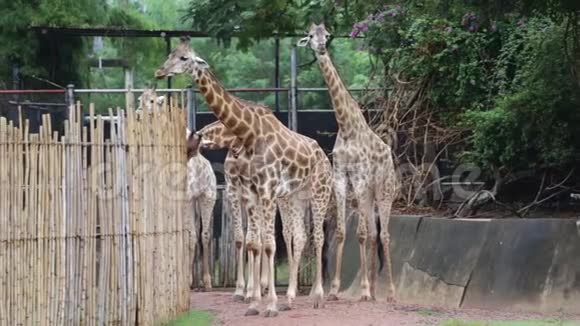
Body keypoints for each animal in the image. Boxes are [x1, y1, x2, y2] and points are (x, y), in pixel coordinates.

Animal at [139, 85, 218, 292]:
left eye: (152, 101)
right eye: (139, 100)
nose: (138, 114)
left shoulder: (185, 199)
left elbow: (188, 236)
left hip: (207, 197)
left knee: (202, 235)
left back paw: (203, 281)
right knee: (196, 234)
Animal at [156, 37, 334, 318]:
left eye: (185, 58)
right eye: (171, 53)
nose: (160, 72)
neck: (249, 133)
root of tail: (325, 157)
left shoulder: (266, 190)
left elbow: (268, 244)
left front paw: (267, 304)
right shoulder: (250, 192)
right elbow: (253, 242)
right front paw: (253, 302)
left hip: (319, 192)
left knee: (318, 237)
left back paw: (317, 296)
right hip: (294, 196)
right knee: (300, 236)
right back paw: (290, 297)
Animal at [300, 23, 398, 304]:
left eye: (326, 35)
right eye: (310, 36)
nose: (321, 47)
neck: (346, 124)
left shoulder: (360, 176)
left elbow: (361, 233)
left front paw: (361, 289)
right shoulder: (341, 176)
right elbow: (344, 232)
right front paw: (334, 290)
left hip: (384, 190)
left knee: (384, 234)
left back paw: (389, 293)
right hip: (370, 194)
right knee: (375, 233)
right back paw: (374, 291)